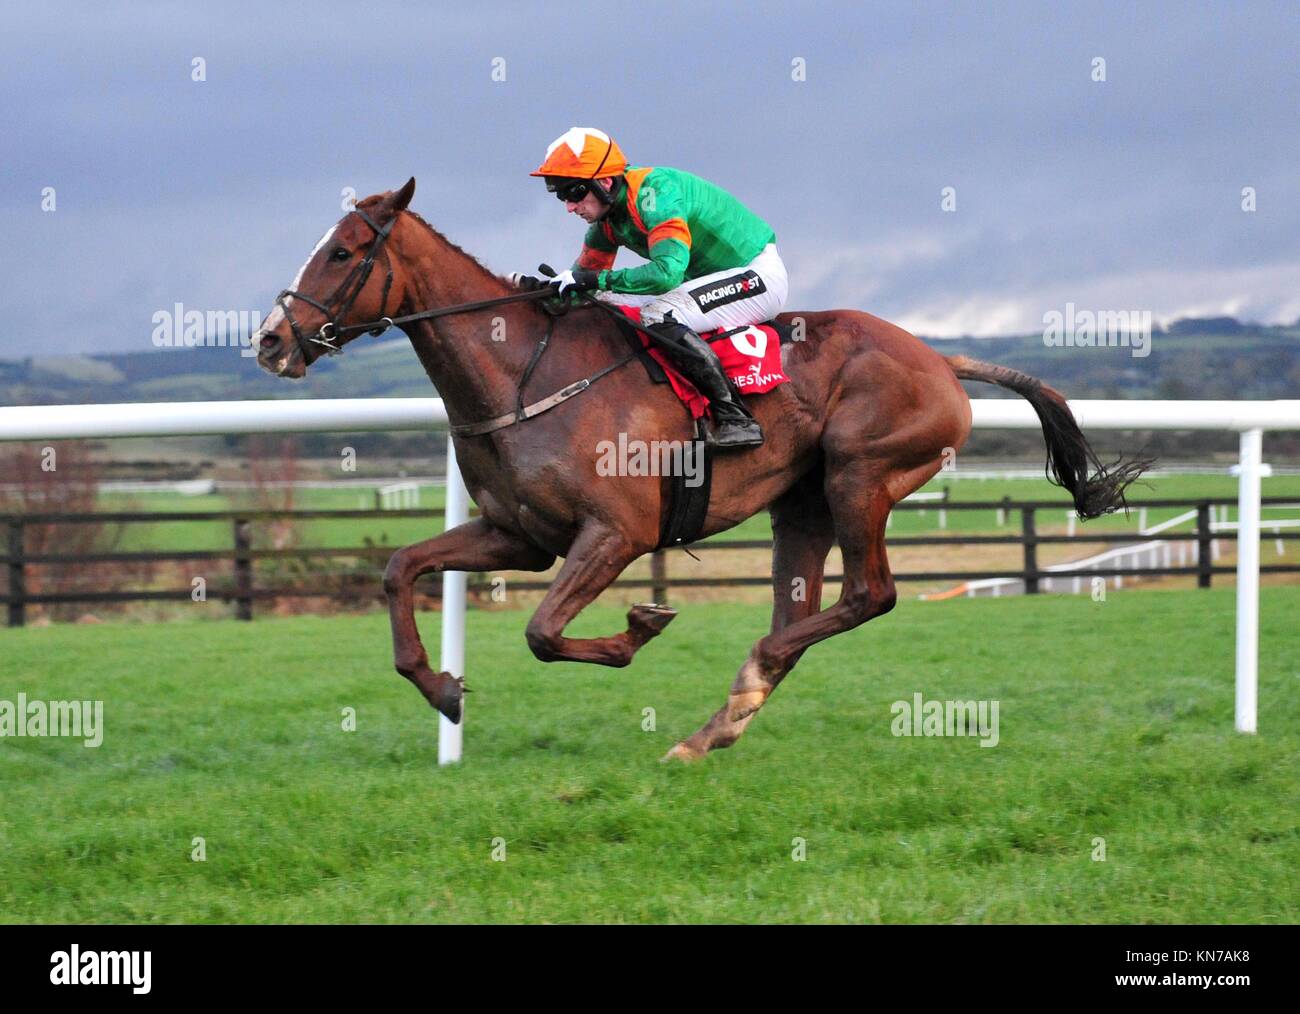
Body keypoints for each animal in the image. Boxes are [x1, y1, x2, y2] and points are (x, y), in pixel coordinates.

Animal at [250, 178, 1138, 759]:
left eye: (345, 252)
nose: (269, 340)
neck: (524, 375)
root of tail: (938, 358)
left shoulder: (615, 533)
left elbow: (543, 632)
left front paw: (640, 627)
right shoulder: (519, 535)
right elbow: (401, 568)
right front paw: (440, 686)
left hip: (862, 476)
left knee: (870, 595)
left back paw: (744, 679)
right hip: (802, 506)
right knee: (805, 614)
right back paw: (718, 725)